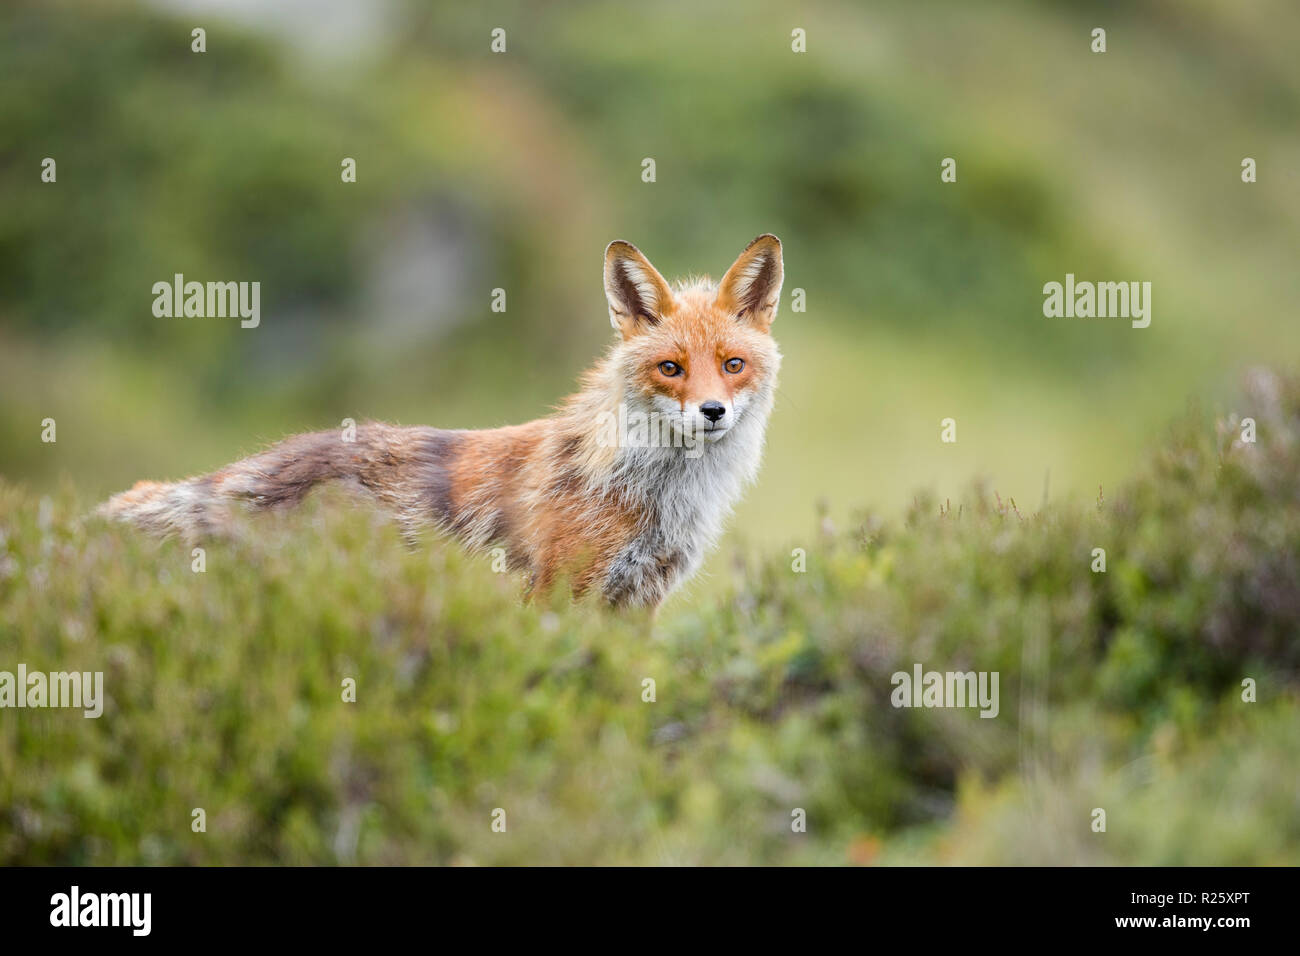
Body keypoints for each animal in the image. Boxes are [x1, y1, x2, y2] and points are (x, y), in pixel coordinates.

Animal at [98, 236, 780, 608]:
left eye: (733, 365)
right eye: (670, 368)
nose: (712, 412)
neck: (654, 492)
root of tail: (237, 475)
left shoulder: (640, 602)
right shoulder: (559, 593)